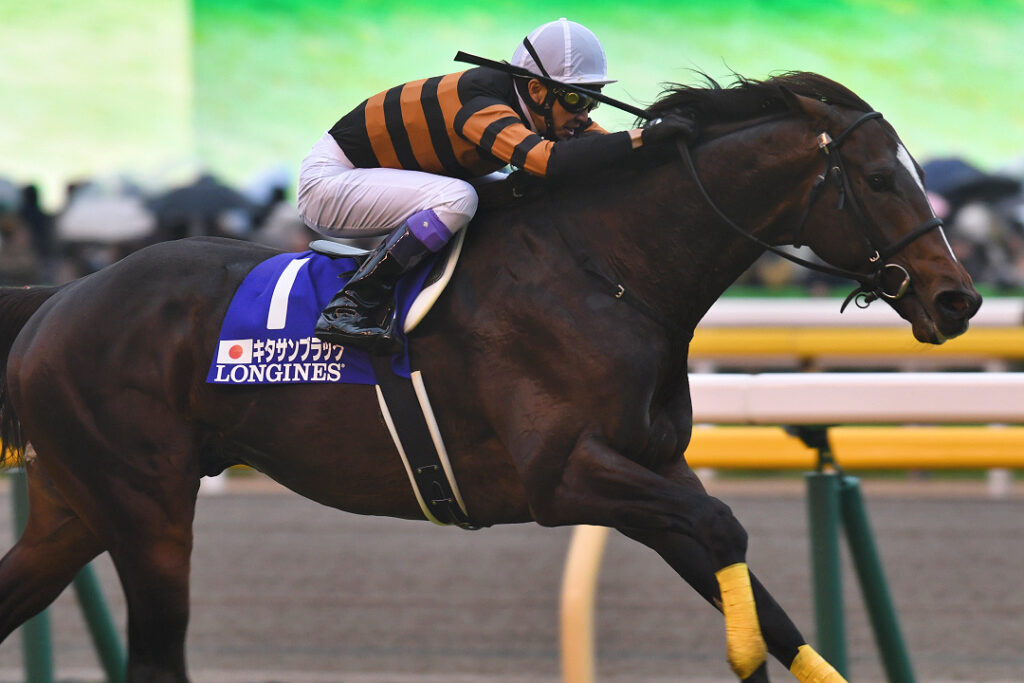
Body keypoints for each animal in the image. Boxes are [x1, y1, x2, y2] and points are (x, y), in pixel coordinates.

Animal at [0, 72, 980, 682]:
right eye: (881, 178)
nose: (960, 298)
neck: (605, 270)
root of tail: (63, 296)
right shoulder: (563, 475)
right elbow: (725, 527)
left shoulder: (651, 470)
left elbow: (756, 590)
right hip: (147, 505)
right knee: (157, 654)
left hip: (78, 505)